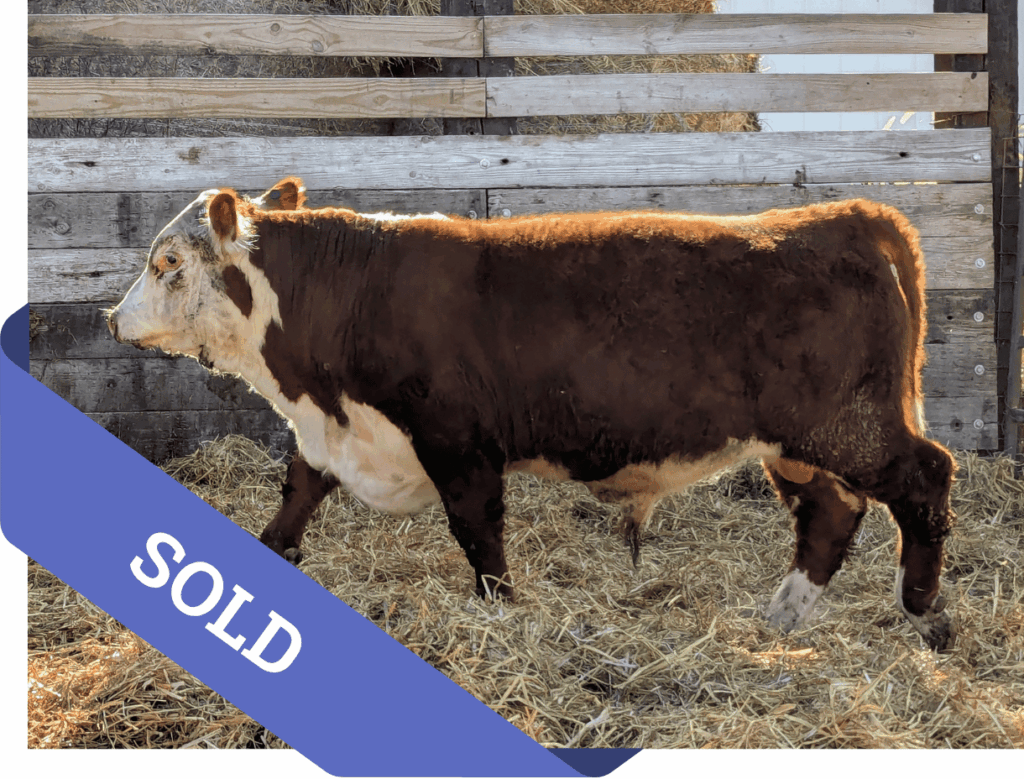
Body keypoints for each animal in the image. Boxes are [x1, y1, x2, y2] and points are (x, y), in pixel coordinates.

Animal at [107, 178, 957, 652]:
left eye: (168, 261)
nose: (112, 319)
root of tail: (839, 216)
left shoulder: (458, 442)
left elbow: (478, 533)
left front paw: (503, 614)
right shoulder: (332, 438)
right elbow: (295, 501)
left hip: (848, 426)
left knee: (925, 478)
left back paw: (922, 609)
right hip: (801, 444)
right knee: (831, 514)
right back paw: (784, 615)